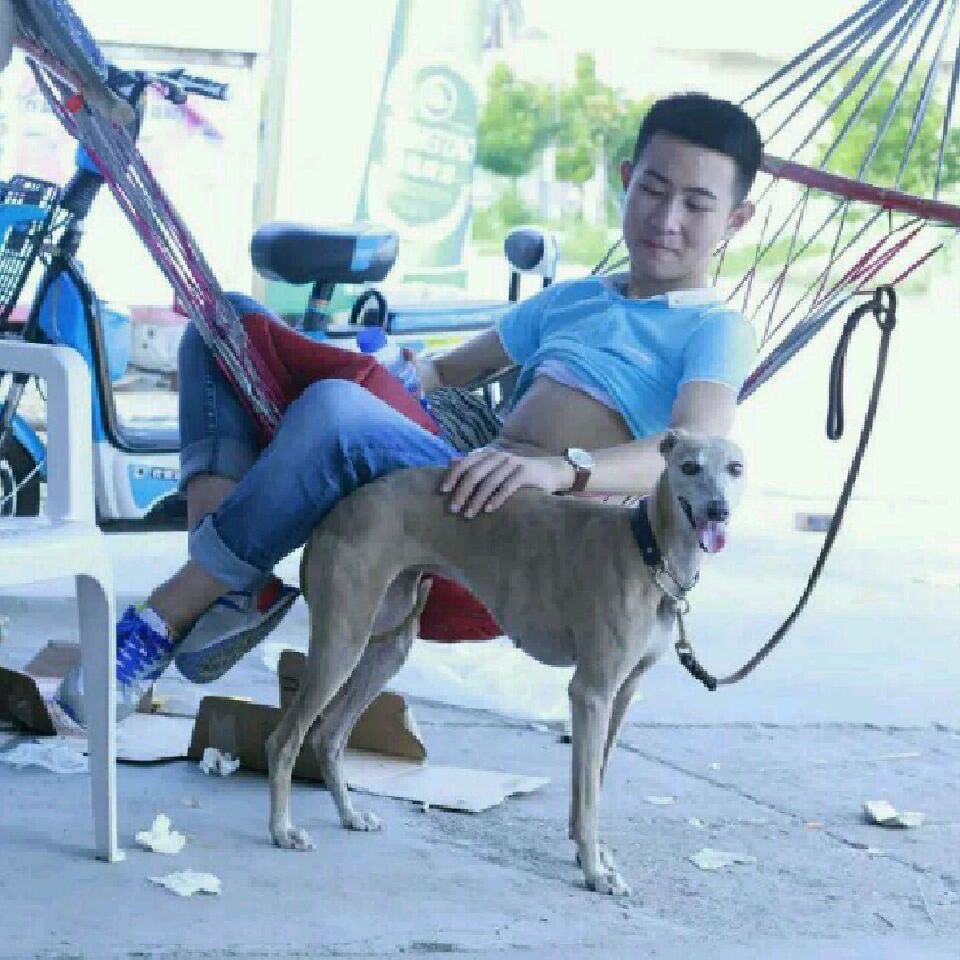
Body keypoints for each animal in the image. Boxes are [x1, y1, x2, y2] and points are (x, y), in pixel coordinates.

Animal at [266, 429, 745, 895]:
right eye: (689, 466)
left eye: (736, 469)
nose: (718, 510)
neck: (649, 551)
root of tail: (341, 507)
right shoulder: (591, 692)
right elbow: (588, 793)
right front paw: (594, 870)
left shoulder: (623, 692)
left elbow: (596, 779)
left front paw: (592, 856)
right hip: (343, 640)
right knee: (286, 739)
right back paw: (282, 830)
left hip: (388, 642)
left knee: (329, 735)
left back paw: (350, 815)